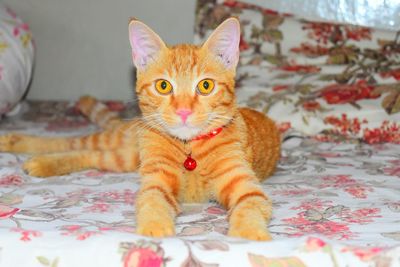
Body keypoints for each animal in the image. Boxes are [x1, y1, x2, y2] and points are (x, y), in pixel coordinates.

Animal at [0, 18, 282, 241]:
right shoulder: (156, 179)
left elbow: (250, 206)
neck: (189, 149)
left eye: (205, 86)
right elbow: (152, 200)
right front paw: (154, 228)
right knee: (71, 143)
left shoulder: (245, 184)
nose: (183, 111)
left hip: (124, 158)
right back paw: (17, 144)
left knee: (90, 155)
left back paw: (41, 163)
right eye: (163, 86)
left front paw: (248, 234)